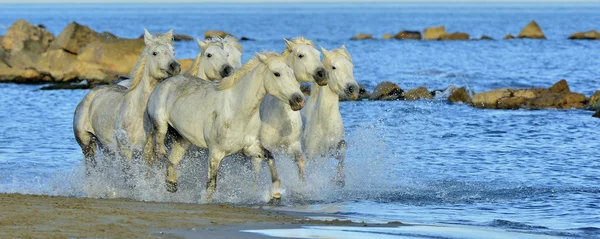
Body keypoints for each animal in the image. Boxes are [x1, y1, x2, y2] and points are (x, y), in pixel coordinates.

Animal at [74, 29, 180, 169]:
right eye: (155, 53)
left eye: (173, 51)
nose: (175, 67)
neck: (140, 113)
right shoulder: (126, 151)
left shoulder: (150, 153)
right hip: (87, 145)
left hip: (107, 149)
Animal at [146, 52, 304, 202]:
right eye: (277, 73)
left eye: (292, 73)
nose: (299, 100)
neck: (237, 110)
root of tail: (164, 83)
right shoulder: (215, 153)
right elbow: (211, 186)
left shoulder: (249, 148)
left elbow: (270, 156)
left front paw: (276, 192)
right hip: (160, 126)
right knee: (160, 153)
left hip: (183, 139)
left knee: (172, 160)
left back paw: (171, 184)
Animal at [302, 45, 358, 187]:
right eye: (333, 67)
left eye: (351, 66)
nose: (353, 89)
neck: (324, 122)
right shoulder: (312, 155)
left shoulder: (332, 150)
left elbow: (343, 147)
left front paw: (339, 179)